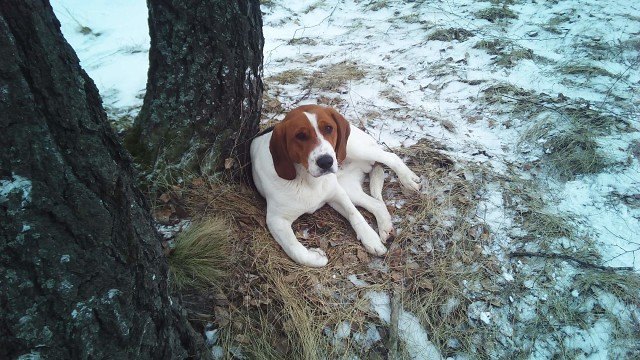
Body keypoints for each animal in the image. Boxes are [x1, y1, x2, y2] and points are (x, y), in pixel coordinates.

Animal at [250, 104, 420, 268]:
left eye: (328, 128)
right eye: (300, 136)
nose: (326, 162)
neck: (309, 180)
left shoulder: (337, 193)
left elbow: (355, 214)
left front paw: (370, 238)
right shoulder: (276, 220)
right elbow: (295, 250)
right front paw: (317, 257)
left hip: (355, 150)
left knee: (391, 156)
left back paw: (408, 179)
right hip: (349, 188)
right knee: (377, 204)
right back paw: (386, 228)